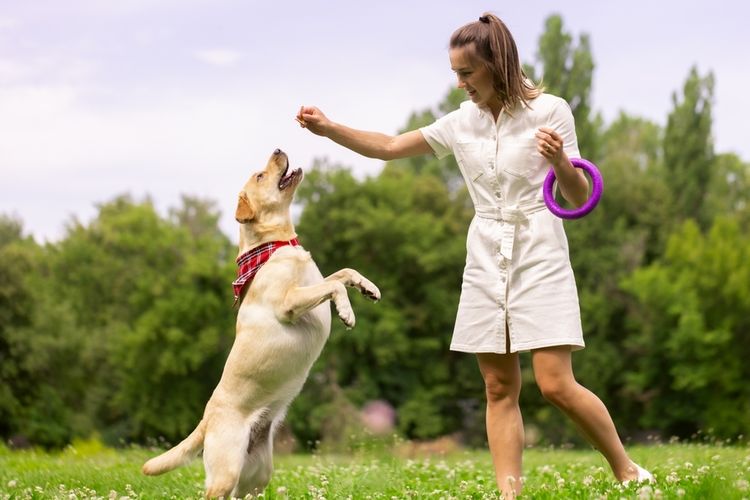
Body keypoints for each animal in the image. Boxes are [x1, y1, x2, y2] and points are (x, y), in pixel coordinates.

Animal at [143, 149, 382, 500]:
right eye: (260, 175)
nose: (279, 149)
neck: (277, 245)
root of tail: (206, 419)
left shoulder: (314, 283)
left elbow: (343, 273)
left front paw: (369, 288)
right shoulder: (289, 303)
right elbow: (335, 286)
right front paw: (346, 312)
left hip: (257, 475)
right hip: (226, 470)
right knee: (212, 492)